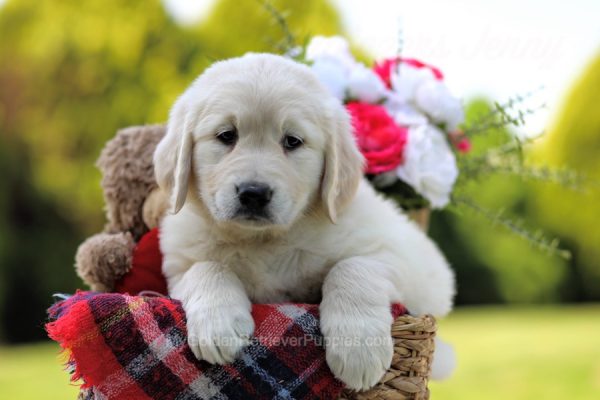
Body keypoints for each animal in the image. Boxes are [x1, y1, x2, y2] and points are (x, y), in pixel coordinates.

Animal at [155, 53, 454, 390]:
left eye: (293, 141)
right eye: (226, 135)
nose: (254, 193)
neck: (266, 240)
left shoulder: (404, 260)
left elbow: (353, 267)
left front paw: (358, 349)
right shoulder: (177, 269)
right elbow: (206, 268)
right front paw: (218, 326)